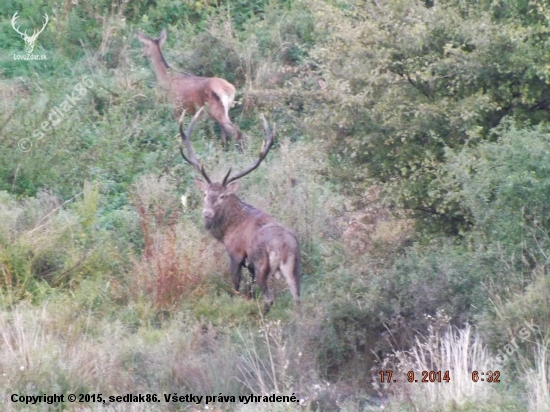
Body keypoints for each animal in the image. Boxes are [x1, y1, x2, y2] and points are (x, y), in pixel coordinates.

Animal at [180, 108, 302, 314]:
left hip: (263, 263)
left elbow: (236, 285)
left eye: (222, 196)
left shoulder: (236, 252)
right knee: (298, 299)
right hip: (294, 267)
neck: (226, 230)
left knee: (269, 298)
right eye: (205, 193)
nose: (207, 214)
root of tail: (284, 247)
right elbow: (249, 288)